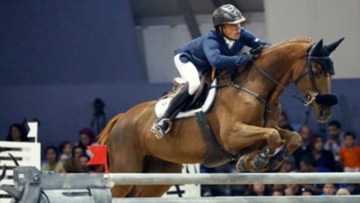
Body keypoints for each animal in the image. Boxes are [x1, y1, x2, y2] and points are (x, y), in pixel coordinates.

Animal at [97, 36, 344, 197]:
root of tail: (122, 118)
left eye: (332, 72)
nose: (325, 111)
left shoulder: (265, 127)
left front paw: (261, 160)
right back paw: (161, 125)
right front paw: (259, 159)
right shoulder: (232, 136)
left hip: (160, 174)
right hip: (126, 172)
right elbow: (272, 136)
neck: (256, 87)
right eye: (317, 70)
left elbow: (292, 137)